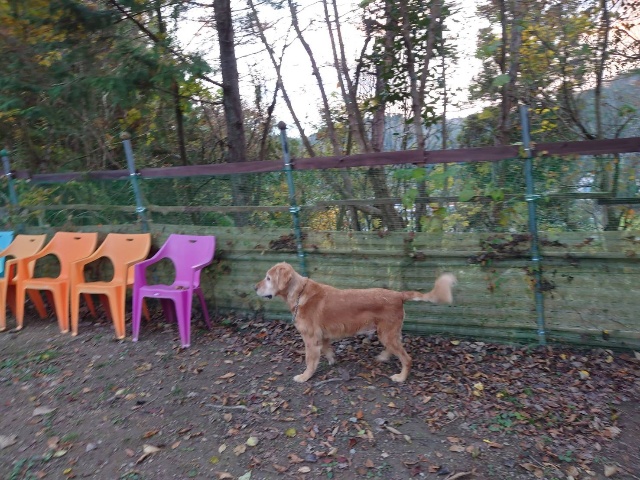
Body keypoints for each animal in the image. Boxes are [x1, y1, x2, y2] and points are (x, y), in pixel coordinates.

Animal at [255, 262, 456, 383]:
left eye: (268, 278)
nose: (254, 287)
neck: (299, 294)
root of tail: (399, 295)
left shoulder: (311, 339)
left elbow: (310, 360)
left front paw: (305, 376)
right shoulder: (322, 336)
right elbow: (327, 350)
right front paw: (332, 360)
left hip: (386, 333)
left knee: (407, 358)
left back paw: (401, 377)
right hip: (389, 333)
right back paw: (383, 357)